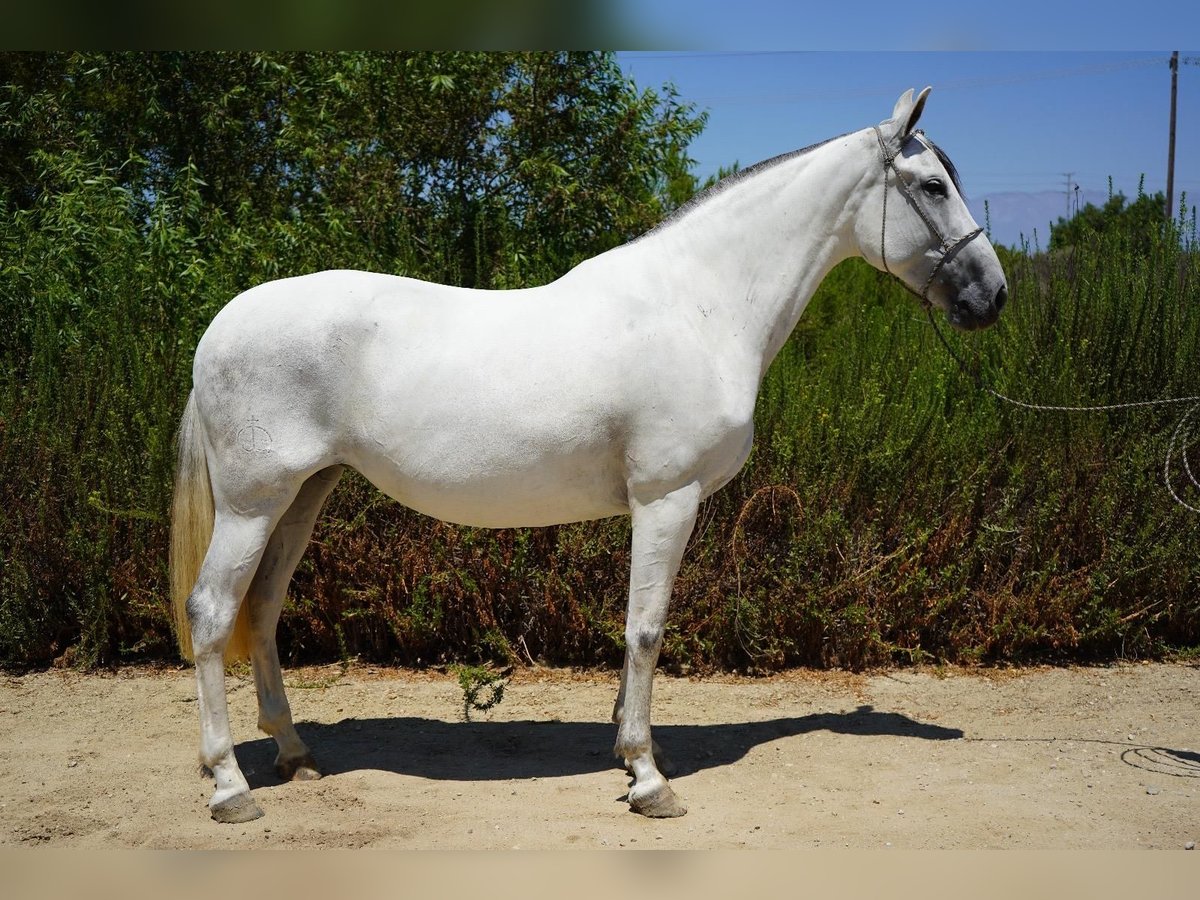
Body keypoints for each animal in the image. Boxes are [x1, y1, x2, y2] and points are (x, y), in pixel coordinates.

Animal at [171, 87, 1007, 823]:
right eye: (932, 185)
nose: (992, 297)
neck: (699, 306)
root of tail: (220, 327)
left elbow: (639, 626)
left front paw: (629, 749)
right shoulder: (666, 497)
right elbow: (646, 628)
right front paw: (647, 777)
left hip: (305, 493)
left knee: (262, 608)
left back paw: (295, 754)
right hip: (253, 503)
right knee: (212, 613)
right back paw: (229, 787)